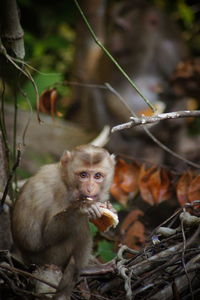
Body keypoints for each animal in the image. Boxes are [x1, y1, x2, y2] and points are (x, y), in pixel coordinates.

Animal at [11, 144, 115, 298]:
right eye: (83, 175)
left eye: (97, 176)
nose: (90, 189)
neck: (66, 181)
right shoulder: (60, 191)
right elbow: (46, 236)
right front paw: (84, 207)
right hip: (49, 259)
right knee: (79, 228)